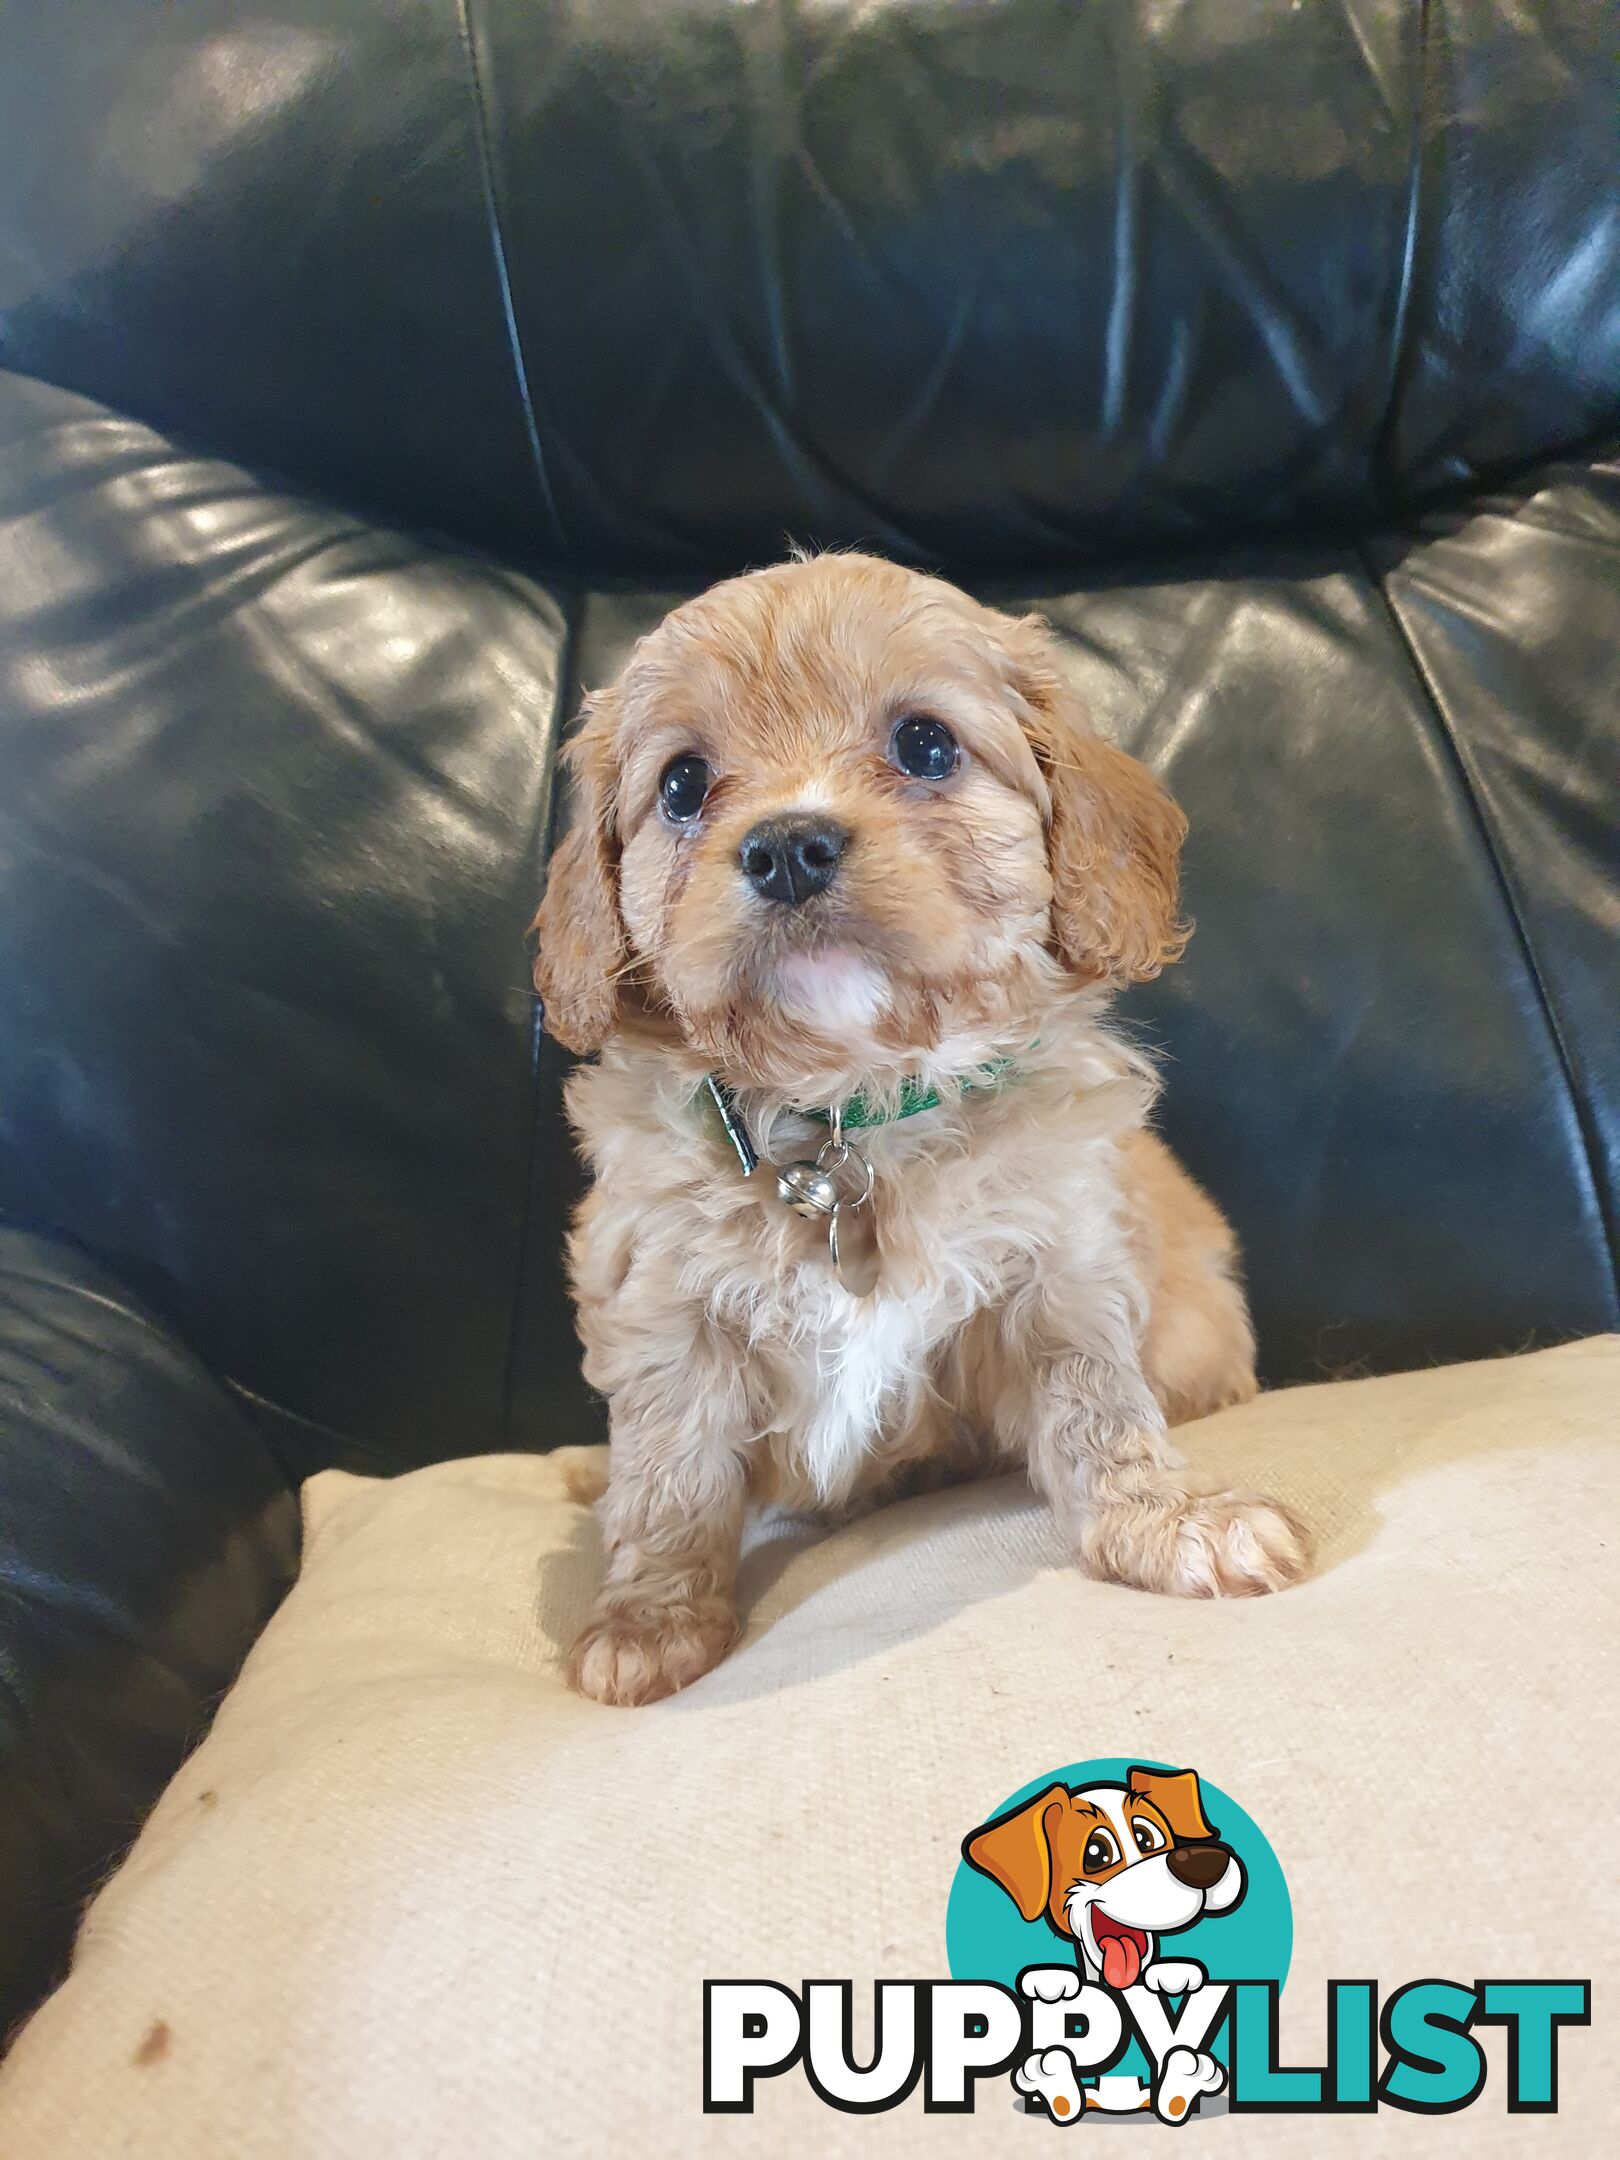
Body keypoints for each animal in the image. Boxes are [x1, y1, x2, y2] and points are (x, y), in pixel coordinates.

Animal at [540, 557, 1313, 1702]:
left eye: (926, 744)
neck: (847, 1111)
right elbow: (669, 1470)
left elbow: (1098, 1405)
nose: (787, 848)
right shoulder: (660, 1303)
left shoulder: (1059, 1263)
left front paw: (1170, 1521)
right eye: (681, 784)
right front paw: (651, 1619)